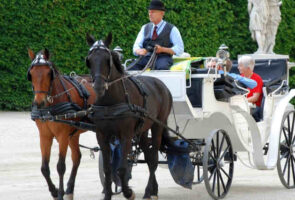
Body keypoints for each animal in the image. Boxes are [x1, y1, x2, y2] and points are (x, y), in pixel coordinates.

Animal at [26, 48, 96, 200]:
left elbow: (60, 166)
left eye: (48, 73)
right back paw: (69, 189)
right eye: (31, 74)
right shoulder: (44, 136)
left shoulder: (63, 135)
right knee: (77, 157)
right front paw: (54, 191)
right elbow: (44, 168)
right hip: (74, 134)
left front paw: (59, 194)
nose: (39, 102)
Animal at [85, 33, 173, 199]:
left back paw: (148, 192)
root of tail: (161, 84)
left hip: (158, 126)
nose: (98, 87)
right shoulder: (102, 136)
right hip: (143, 130)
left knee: (153, 160)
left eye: (108, 59)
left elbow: (121, 168)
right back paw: (153, 190)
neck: (110, 102)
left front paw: (128, 192)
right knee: (149, 157)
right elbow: (108, 169)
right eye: (89, 60)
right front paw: (108, 194)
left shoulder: (125, 135)